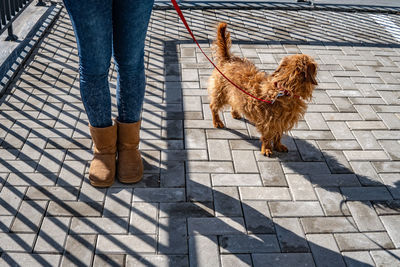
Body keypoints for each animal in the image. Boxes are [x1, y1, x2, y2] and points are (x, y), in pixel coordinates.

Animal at [208, 23, 318, 157]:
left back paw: (236, 113)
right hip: (220, 92)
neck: (284, 89)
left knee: (234, 102)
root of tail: (228, 59)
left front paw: (278, 145)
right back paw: (217, 121)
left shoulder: (280, 121)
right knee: (213, 106)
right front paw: (267, 148)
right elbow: (267, 136)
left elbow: (278, 134)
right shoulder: (268, 121)